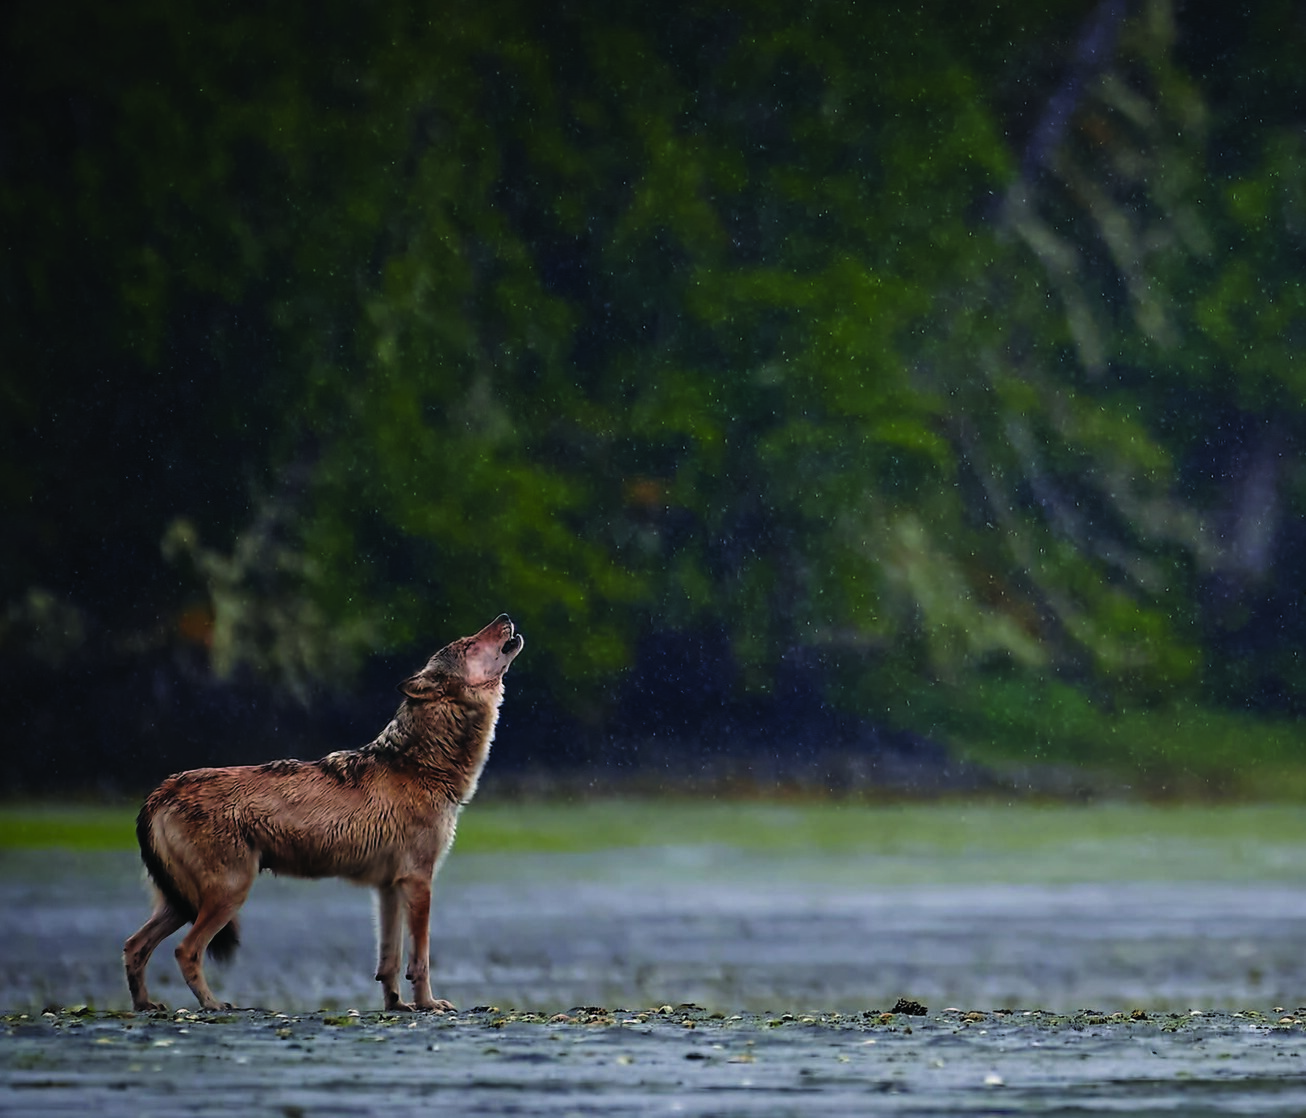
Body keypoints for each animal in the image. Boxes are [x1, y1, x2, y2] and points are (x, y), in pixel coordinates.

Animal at [123, 614, 523, 1012]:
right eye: (468, 644)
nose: (504, 617)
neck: (421, 765)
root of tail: (161, 791)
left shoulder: (388, 888)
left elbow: (389, 961)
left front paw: (396, 1006)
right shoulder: (419, 882)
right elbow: (419, 959)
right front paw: (428, 1004)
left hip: (182, 902)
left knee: (133, 946)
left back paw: (146, 1005)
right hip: (227, 895)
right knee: (185, 950)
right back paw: (214, 1005)